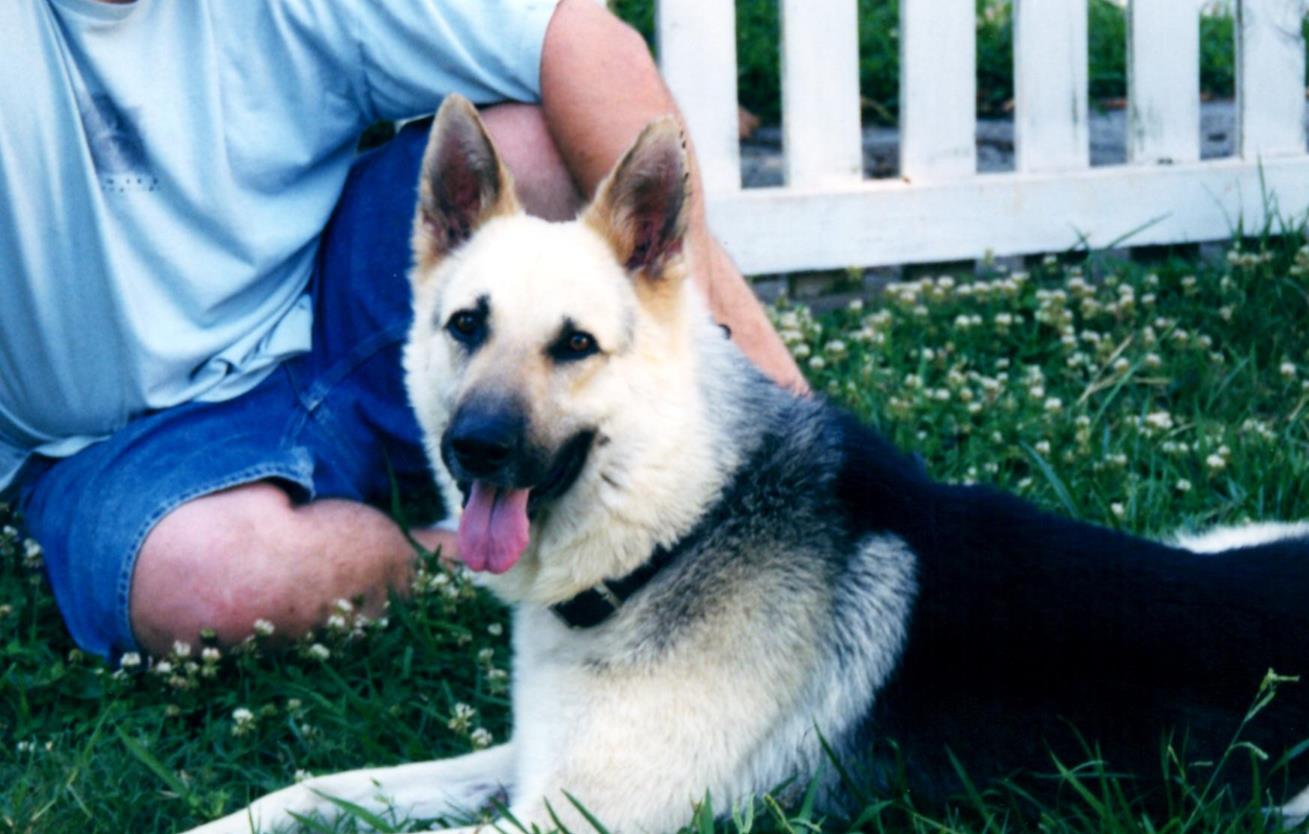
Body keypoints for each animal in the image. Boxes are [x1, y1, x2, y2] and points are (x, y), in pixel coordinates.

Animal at [184, 94, 1309, 827]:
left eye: (575, 345)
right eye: (467, 325)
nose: (476, 449)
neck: (674, 534)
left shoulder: (569, 817)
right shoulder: (533, 769)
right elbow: (321, 789)